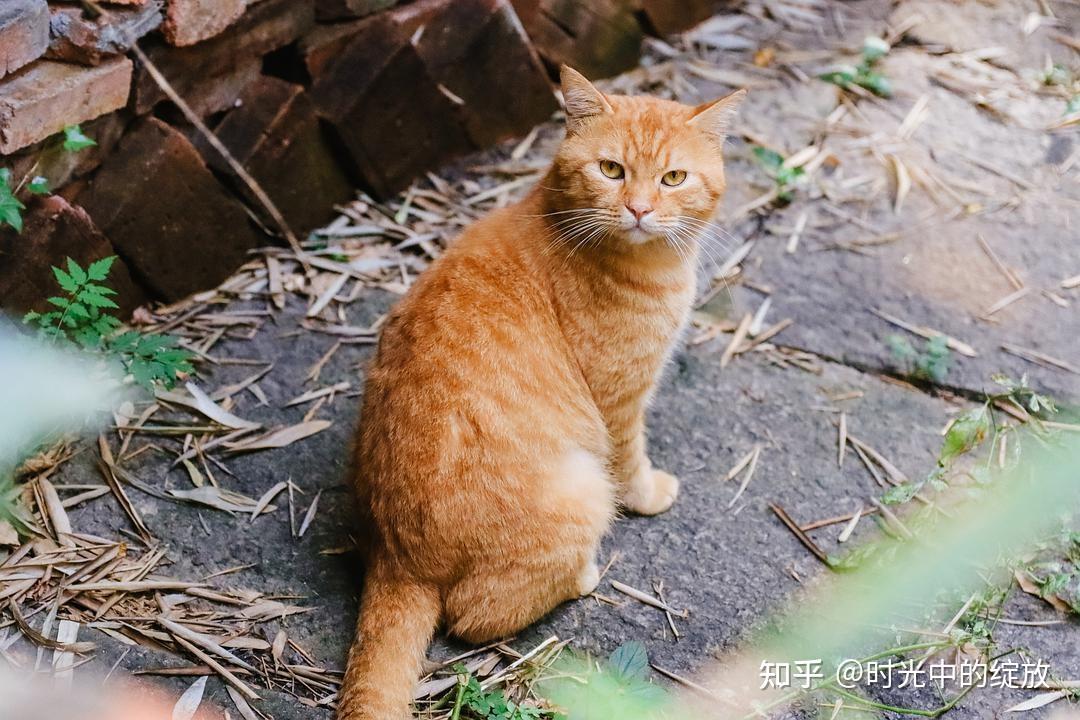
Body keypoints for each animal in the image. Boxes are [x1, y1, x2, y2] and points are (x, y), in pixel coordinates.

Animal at [339, 66, 743, 716]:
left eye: (673, 178)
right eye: (611, 170)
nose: (639, 209)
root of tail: (397, 561)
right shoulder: (618, 403)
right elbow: (631, 461)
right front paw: (650, 494)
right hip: (582, 494)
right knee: (473, 616)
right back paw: (582, 576)